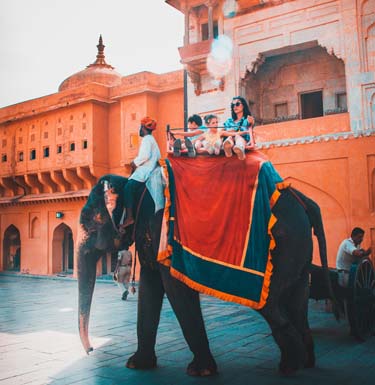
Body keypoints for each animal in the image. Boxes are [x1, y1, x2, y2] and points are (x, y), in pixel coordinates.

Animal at [78, 172, 334, 376]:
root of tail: (305, 202)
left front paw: (201, 371)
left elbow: (175, 288)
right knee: (296, 301)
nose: (90, 350)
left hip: (282, 244)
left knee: (270, 303)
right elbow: (150, 288)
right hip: (298, 249)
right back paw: (306, 362)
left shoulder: (164, 228)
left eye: (89, 224)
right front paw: (137, 365)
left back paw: (291, 365)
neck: (133, 184)